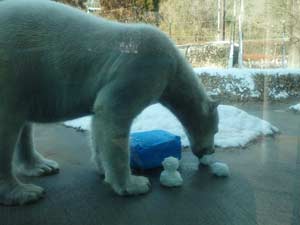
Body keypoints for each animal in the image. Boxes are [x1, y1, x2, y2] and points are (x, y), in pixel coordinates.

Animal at [0, 0, 218, 205]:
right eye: (216, 130)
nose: (210, 151)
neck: (175, 66)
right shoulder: (146, 68)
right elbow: (113, 111)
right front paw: (134, 184)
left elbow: (98, 121)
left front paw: (102, 168)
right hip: (13, 67)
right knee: (9, 122)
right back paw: (23, 192)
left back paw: (42, 166)